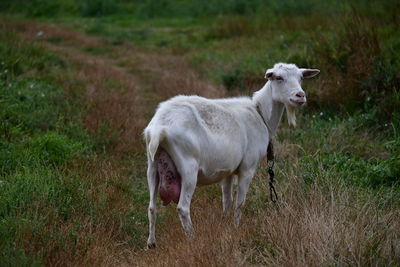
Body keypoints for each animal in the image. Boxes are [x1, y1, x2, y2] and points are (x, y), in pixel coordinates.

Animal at [143, 62, 318, 249]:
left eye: (301, 77)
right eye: (278, 77)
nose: (300, 96)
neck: (261, 115)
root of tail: (159, 129)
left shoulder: (227, 171)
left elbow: (227, 201)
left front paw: (225, 225)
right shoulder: (247, 168)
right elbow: (240, 202)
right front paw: (235, 227)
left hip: (152, 166)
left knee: (151, 206)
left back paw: (151, 243)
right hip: (188, 167)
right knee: (182, 207)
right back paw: (192, 238)